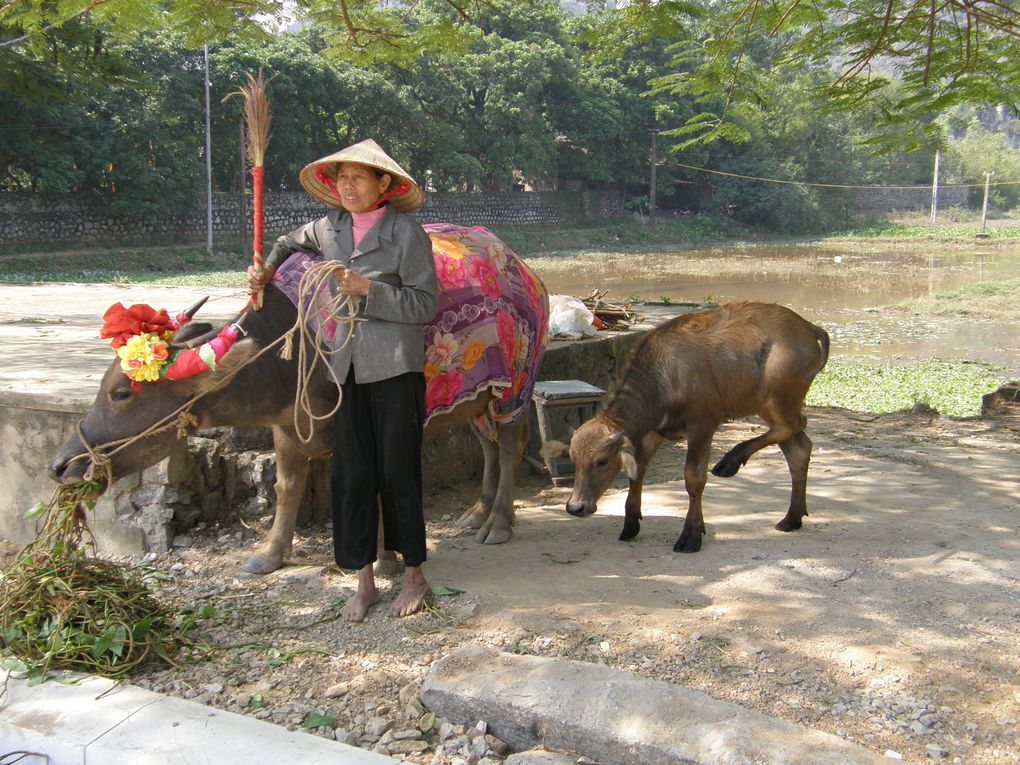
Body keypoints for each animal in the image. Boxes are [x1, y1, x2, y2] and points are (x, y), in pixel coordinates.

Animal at [50, 227, 546, 575]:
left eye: (120, 393)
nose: (61, 465)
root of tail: (522, 268)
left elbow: (372, 486)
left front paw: (382, 559)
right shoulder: (285, 429)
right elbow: (286, 489)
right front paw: (270, 554)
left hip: (515, 385)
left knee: (510, 445)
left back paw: (499, 523)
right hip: (474, 397)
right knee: (487, 445)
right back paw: (477, 513)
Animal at [542, 301, 828, 554]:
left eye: (602, 461)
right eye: (573, 459)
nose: (576, 507)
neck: (664, 378)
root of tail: (808, 327)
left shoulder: (702, 426)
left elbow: (694, 478)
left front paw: (691, 534)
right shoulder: (653, 432)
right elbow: (638, 471)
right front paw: (631, 523)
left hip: (779, 400)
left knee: (795, 426)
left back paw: (731, 461)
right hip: (767, 406)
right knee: (798, 447)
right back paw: (791, 518)